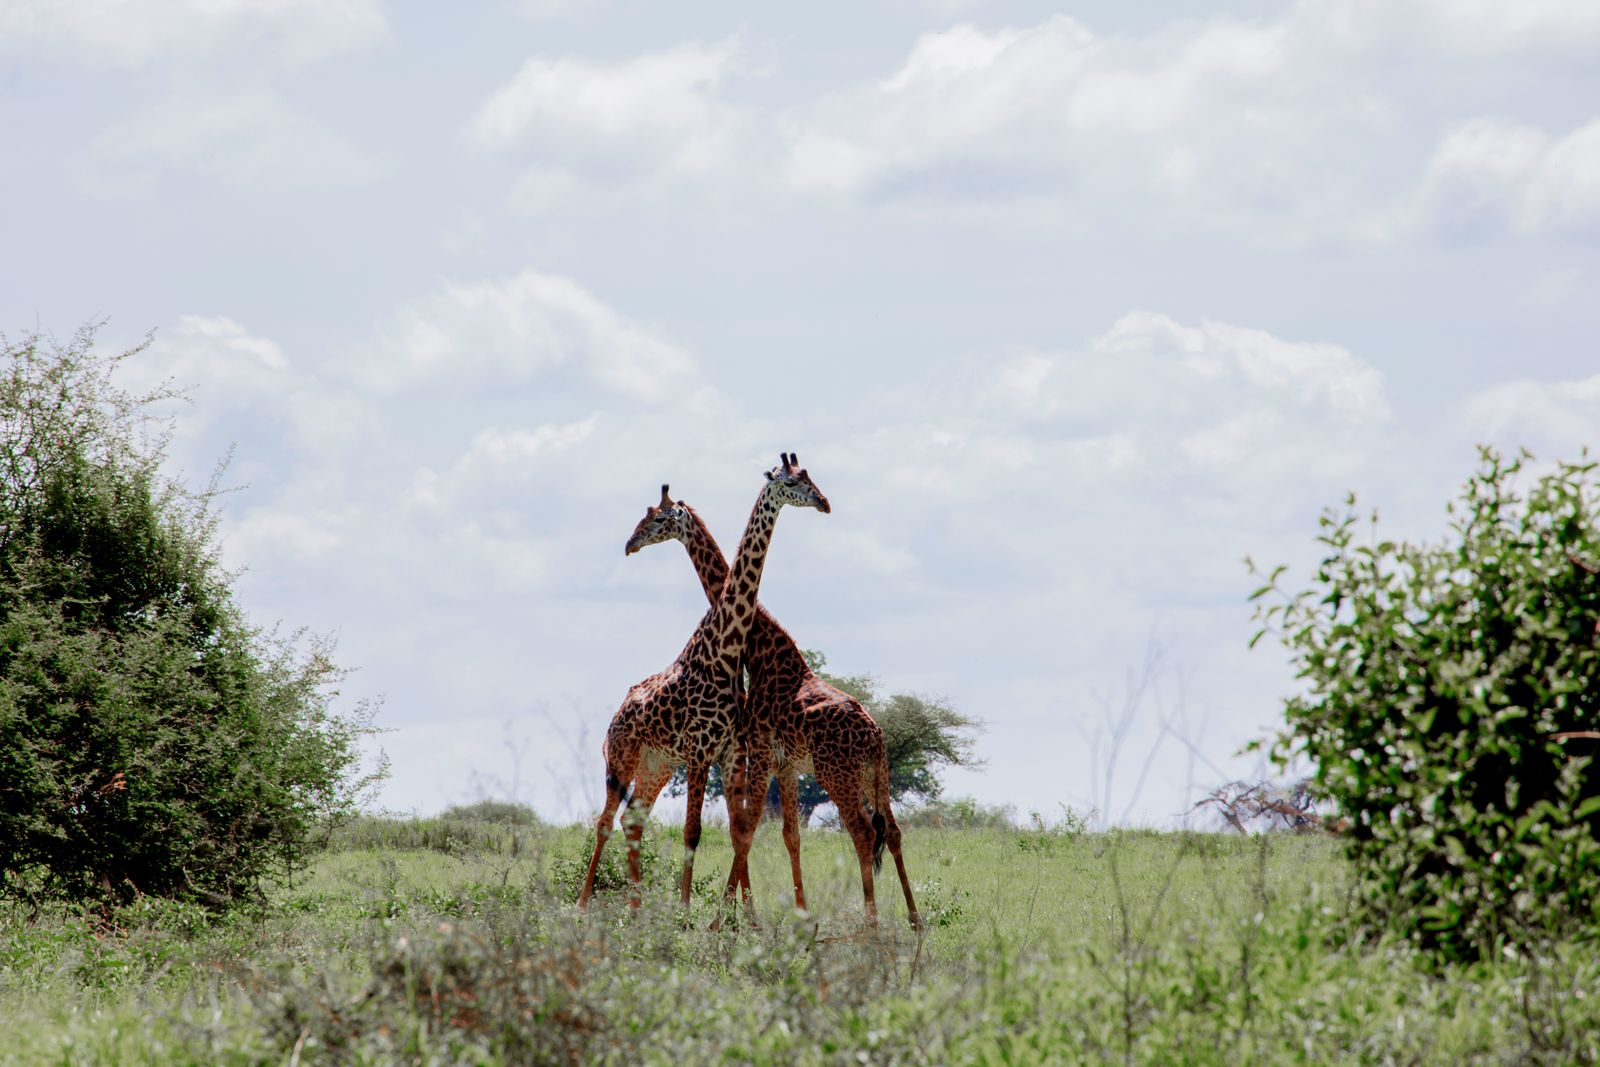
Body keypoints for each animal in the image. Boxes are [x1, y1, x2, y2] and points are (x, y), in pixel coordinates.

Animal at [578, 453, 830, 914]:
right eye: (791, 481)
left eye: (806, 478)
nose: (630, 544)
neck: (725, 651)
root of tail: (615, 718)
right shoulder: (700, 750)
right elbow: (694, 831)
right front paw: (686, 912)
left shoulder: (730, 751)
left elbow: (735, 829)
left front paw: (743, 917)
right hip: (621, 759)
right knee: (605, 820)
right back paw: (585, 905)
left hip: (656, 765)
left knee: (631, 819)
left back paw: (636, 909)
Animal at [625, 484, 921, 930]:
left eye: (657, 519)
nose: (630, 544)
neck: (760, 649)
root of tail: (875, 734)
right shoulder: (784, 763)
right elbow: (787, 836)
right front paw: (796, 914)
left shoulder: (760, 752)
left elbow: (745, 830)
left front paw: (724, 920)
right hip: (876, 774)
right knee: (895, 829)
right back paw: (914, 919)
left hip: (838, 774)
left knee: (863, 831)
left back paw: (871, 922)